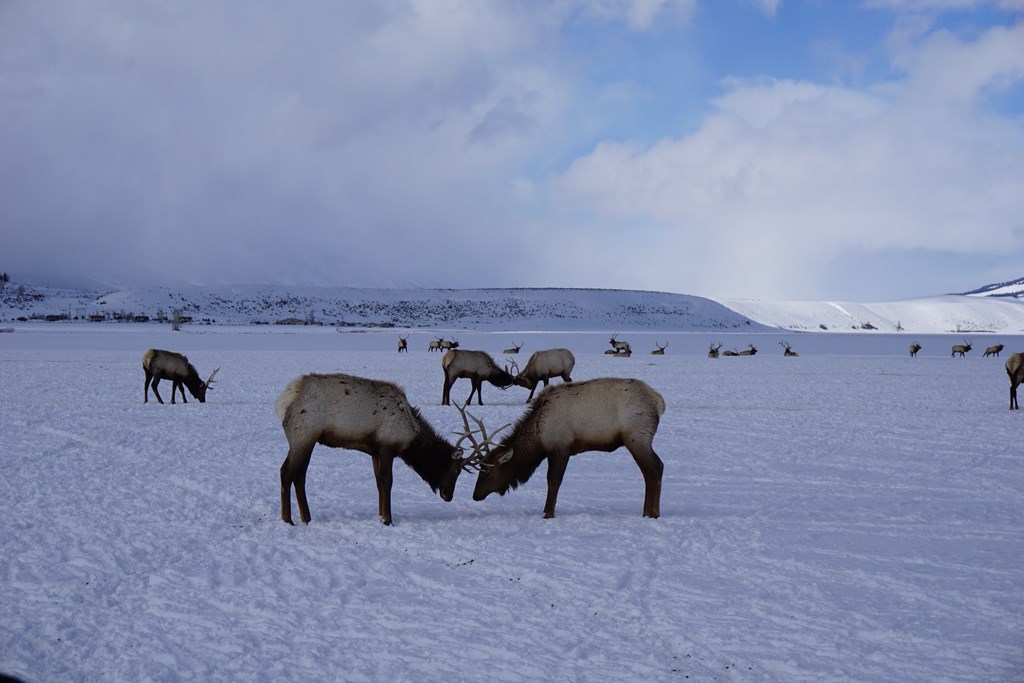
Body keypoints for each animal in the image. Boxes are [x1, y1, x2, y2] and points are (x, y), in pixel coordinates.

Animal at [275, 373, 478, 526]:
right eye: (456, 470)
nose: (448, 495)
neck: (410, 437)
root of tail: (283, 400)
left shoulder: (374, 451)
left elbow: (379, 483)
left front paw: (381, 517)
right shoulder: (387, 447)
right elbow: (387, 482)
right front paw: (388, 520)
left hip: (308, 440)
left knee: (299, 477)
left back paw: (306, 518)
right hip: (303, 436)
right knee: (286, 472)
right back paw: (287, 520)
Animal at [469, 378, 666, 519]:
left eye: (487, 472)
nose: (475, 495)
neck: (539, 437)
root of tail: (658, 402)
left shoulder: (561, 447)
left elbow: (553, 481)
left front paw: (548, 513)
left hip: (637, 437)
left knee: (657, 467)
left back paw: (654, 513)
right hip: (636, 440)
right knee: (648, 473)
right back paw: (646, 512)